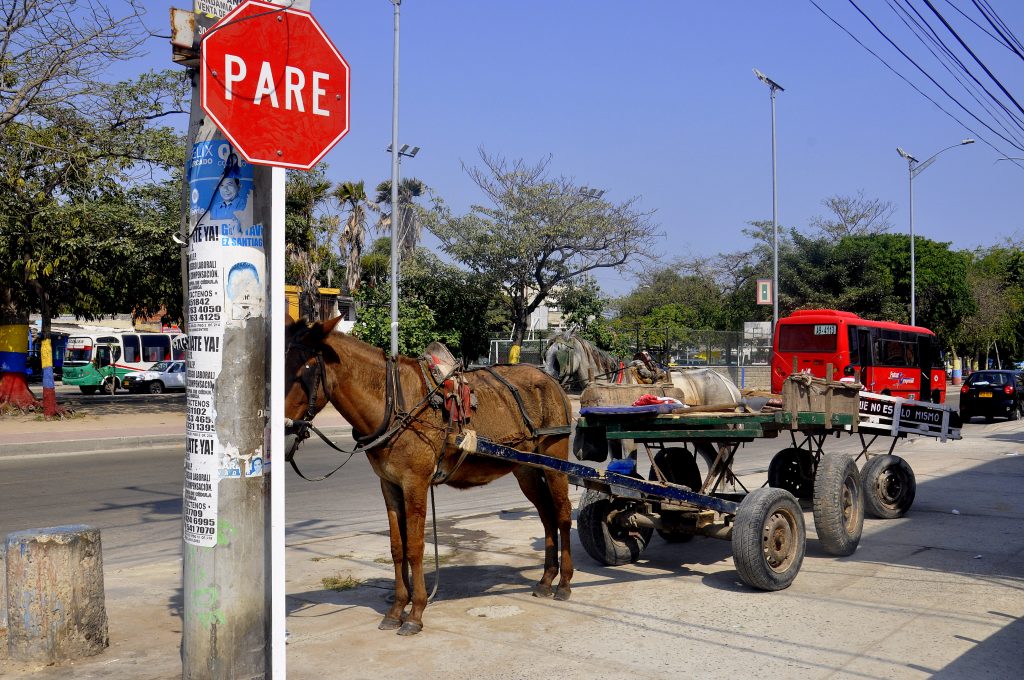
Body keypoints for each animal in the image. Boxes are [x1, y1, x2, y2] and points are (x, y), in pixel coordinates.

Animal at [288, 315, 577, 634]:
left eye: (302, 372)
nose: (281, 428)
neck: (395, 406)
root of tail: (550, 379)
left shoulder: (415, 483)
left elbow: (415, 546)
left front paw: (415, 612)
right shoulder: (389, 484)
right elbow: (397, 546)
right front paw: (396, 609)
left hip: (554, 460)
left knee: (563, 514)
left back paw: (564, 583)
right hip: (526, 468)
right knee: (547, 516)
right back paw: (546, 579)